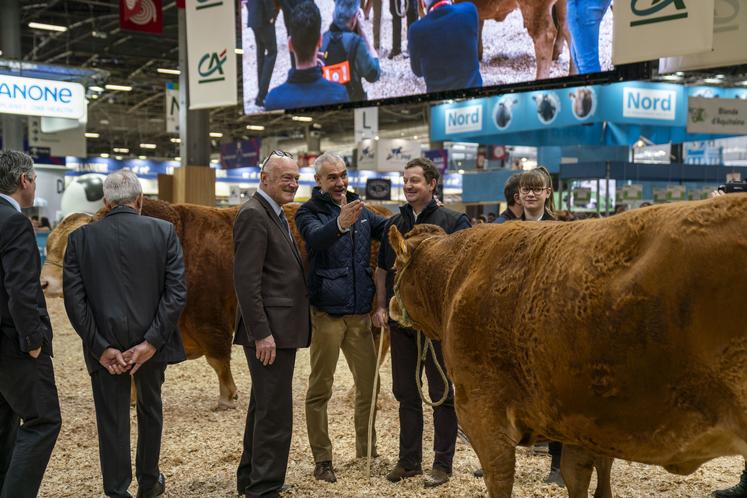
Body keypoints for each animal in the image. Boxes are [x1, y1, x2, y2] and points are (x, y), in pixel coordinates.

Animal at [388, 196, 747, 498]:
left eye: (393, 267)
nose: (389, 305)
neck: (459, 273)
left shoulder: (481, 408)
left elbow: (501, 478)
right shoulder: (584, 419)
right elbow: (586, 476)